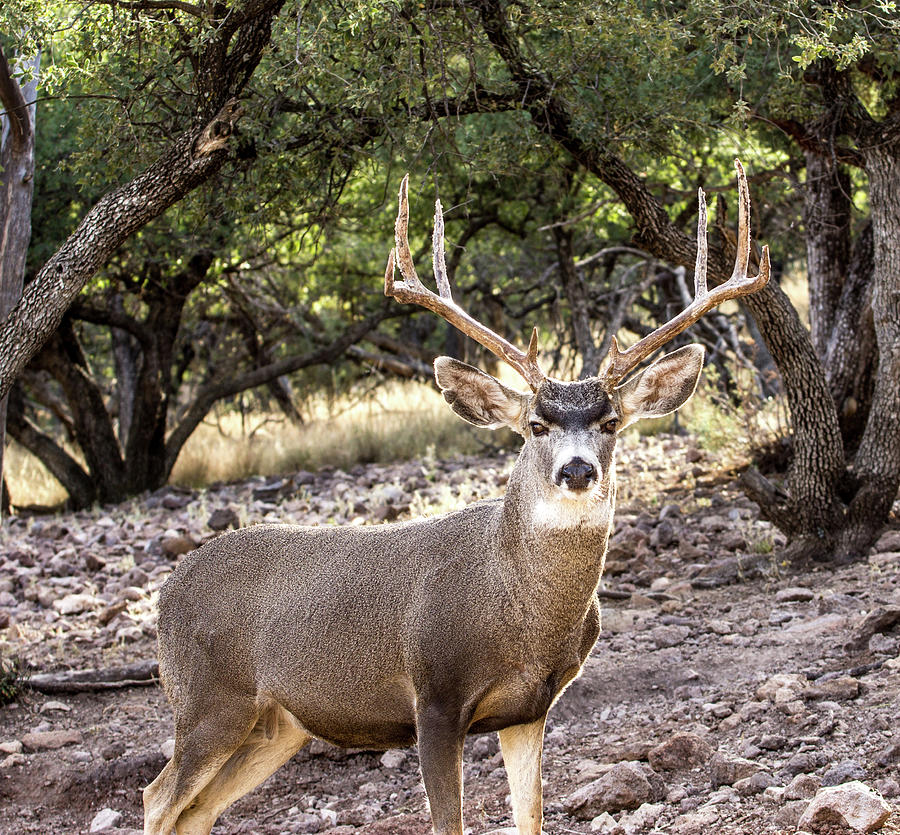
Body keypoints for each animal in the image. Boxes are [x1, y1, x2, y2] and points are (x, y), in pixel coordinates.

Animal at [144, 158, 768, 835]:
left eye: (609, 423)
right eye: (536, 426)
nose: (577, 470)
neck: (516, 612)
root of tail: (167, 592)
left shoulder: (530, 708)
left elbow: (531, 817)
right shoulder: (435, 697)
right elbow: (451, 821)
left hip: (277, 724)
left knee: (195, 811)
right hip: (208, 700)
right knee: (157, 797)